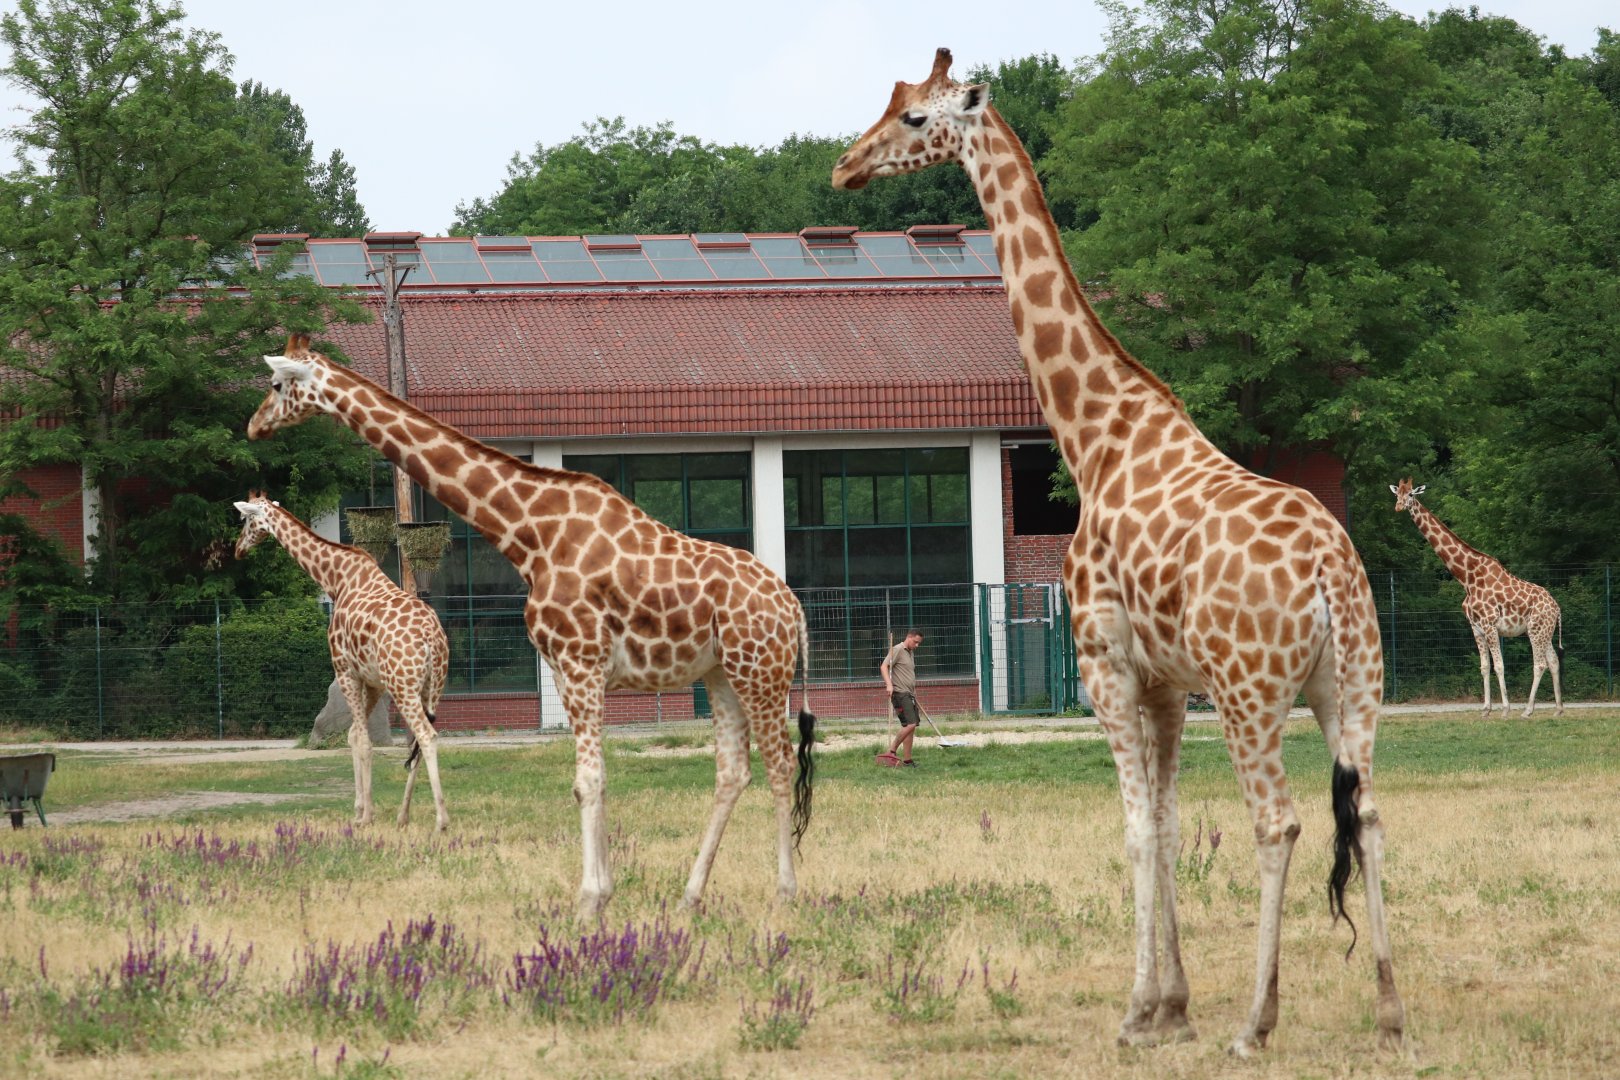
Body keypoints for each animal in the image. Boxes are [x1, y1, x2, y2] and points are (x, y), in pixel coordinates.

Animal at [232, 492, 451, 830]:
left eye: (246, 520)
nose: (238, 549)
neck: (336, 579)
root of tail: (432, 639)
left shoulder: (345, 670)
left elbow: (362, 740)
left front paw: (365, 815)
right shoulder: (373, 682)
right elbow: (353, 736)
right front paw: (360, 810)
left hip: (403, 686)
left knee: (427, 736)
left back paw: (441, 820)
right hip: (432, 688)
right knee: (419, 739)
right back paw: (403, 816)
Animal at [834, 49, 1403, 1054]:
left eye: (914, 119)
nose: (844, 167)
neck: (1094, 433)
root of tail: (1332, 573)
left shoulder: (1105, 663)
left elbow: (1137, 829)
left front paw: (1142, 1010)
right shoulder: (1166, 683)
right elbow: (1170, 828)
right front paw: (1172, 1003)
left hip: (1252, 692)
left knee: (1280, 824)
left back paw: (1256, 1022)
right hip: (1351, 686)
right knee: (1366, 814)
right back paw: (1387, 1011)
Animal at [1391, 478, 1563, 717]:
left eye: (1411, 495)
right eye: (1397, 494)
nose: (1398, 506)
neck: (1467, 578)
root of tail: (1557, 608)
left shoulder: (1490, 625)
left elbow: (1499, 666)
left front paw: (1505, 709)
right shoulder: (1476, 627)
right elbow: (1484, 667)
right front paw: (1485, 710)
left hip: (1536, 630)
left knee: (1540, 664)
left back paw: (1527, 711)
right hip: (1543, 630)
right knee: (1554, 661)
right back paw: (1558, 710)